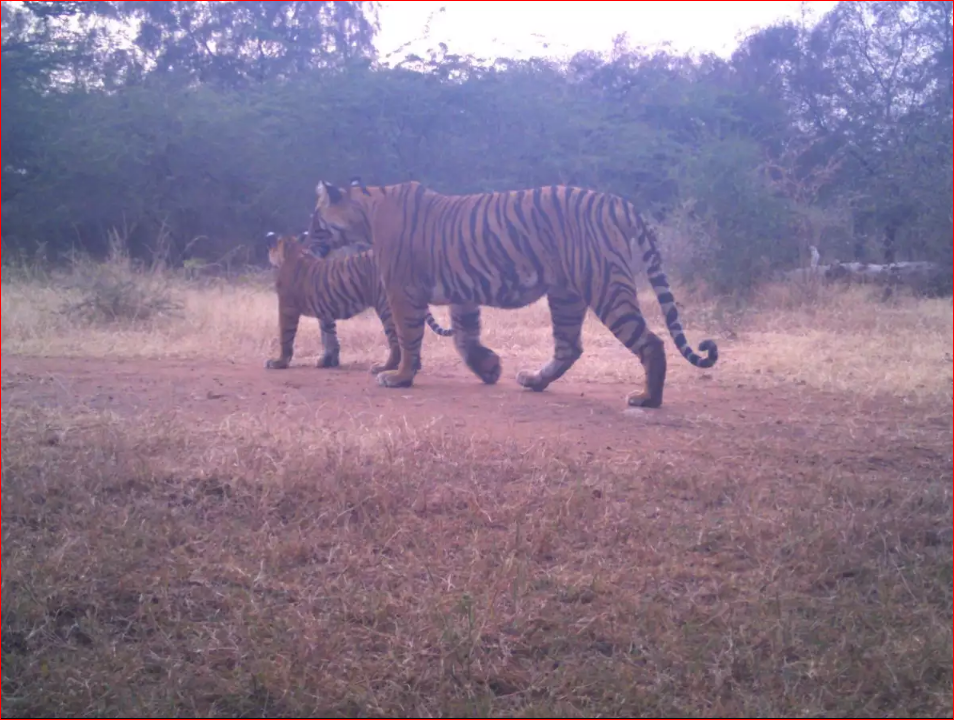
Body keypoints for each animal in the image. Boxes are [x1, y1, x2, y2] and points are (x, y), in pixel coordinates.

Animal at [262, 232, 452, 376]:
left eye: (272, 247)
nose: (268, 247)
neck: (295, 253)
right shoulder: (325, 310)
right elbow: (329, 336)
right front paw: (329, 361)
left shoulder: (287, 308)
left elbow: (285, 336)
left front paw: (279, 362)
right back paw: (413, 366)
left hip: (387, 308)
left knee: (397, 342)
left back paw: (384, 368)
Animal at [304, 178, 712, 408]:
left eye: (315, 216)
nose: (305, 236)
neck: (367, 210)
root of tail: (619, 202)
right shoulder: (462, 293)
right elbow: (465, 337)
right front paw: (489, 368)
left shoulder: (402, 292)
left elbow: (407, 338)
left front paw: (399, 376)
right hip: (566, 295)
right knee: (569, 347)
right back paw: (534, 380)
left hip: (605, 285)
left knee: (651, 342)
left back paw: (648, 399)